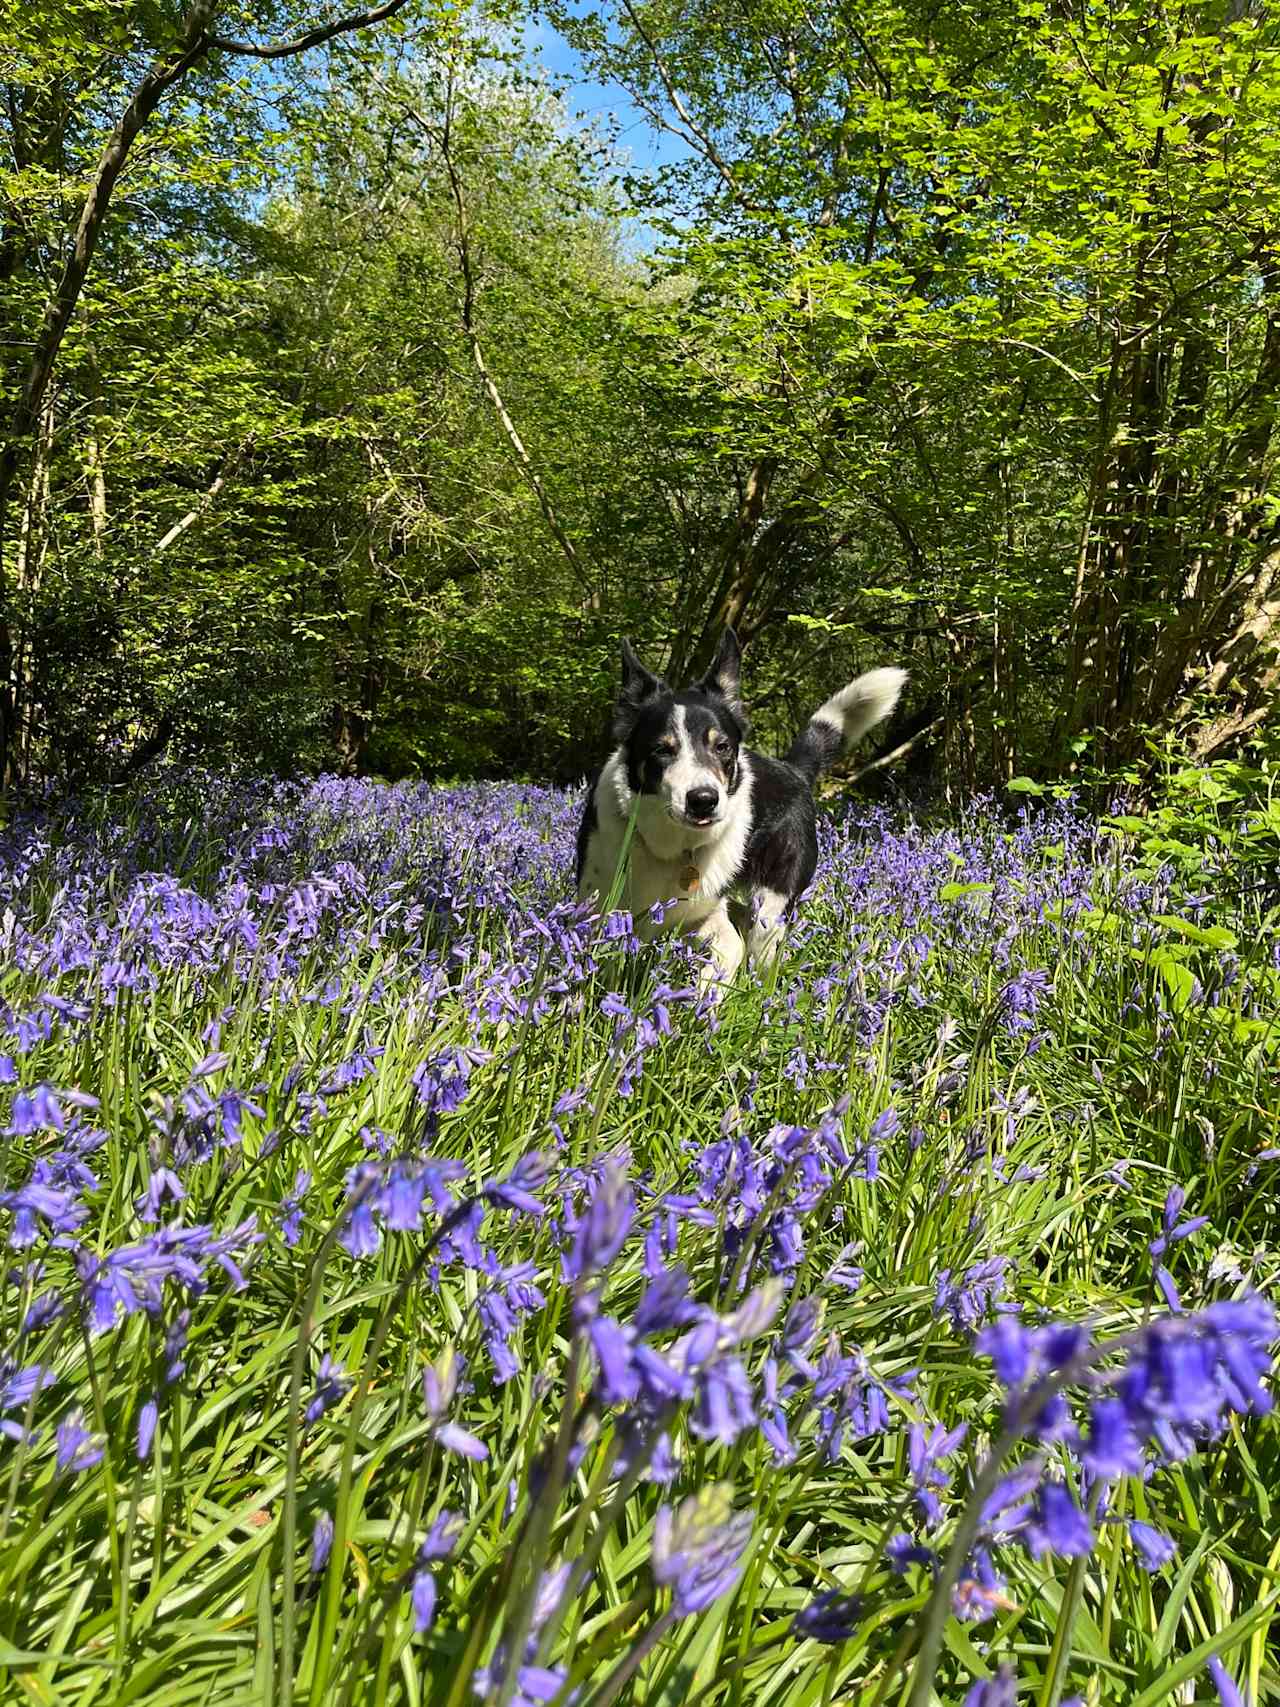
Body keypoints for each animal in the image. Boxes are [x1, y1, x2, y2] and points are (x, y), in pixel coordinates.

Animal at [576, 628, 907, 983]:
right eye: (662, 749)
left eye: (721, 746)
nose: (703, 800)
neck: (672, 849)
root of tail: (793, 770)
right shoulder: (598, 905)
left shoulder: (708, 918)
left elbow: (724, 957)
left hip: (770, 911)